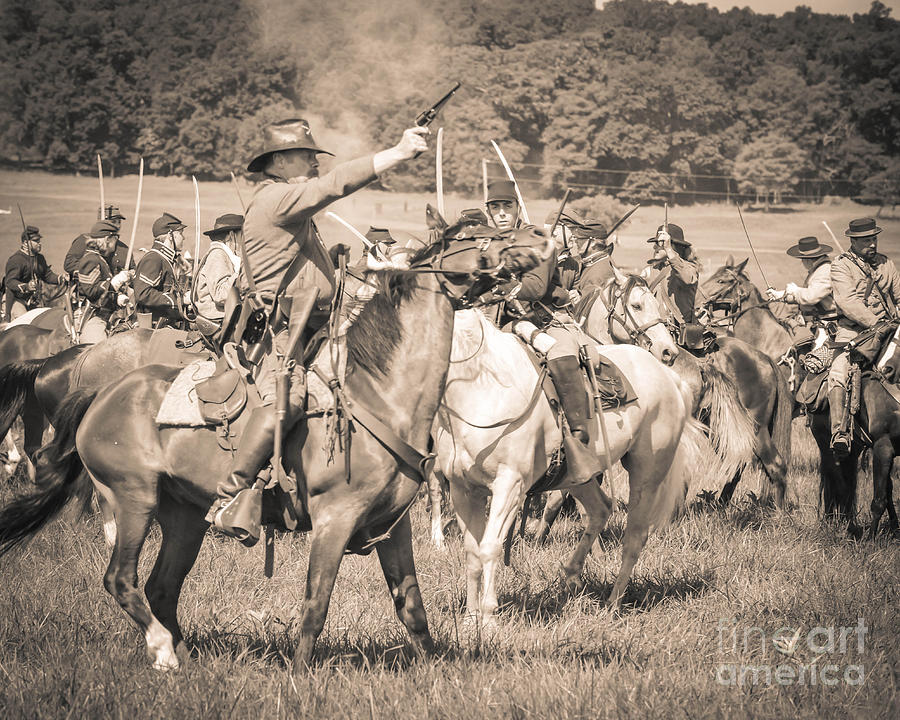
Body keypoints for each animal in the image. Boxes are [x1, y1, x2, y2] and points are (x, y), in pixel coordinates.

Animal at [0, 221, 548, 668]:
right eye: (475, 233)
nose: (540, 242)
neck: (379, 394)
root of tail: (100, 390)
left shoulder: (393, 527)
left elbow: (411, 607)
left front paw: (438, 669)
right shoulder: (333, 521)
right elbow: (316, 603)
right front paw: (301, 676)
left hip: (184, 516)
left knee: (162, 587)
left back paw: (184, 655)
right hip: (135, 499)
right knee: (121, 579)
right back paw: (162, 650)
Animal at [432, 306, 708, 620]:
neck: (483, 390)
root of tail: (669, 377)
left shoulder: (509, 487)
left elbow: (490, 547)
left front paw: (489, 618)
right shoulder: (463, 490)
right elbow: (472, 553)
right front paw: (470, 618)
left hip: (646, 475)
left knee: (635, 537)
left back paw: (613, 603)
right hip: (578, 475)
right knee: (600, 509)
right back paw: (572, 573)